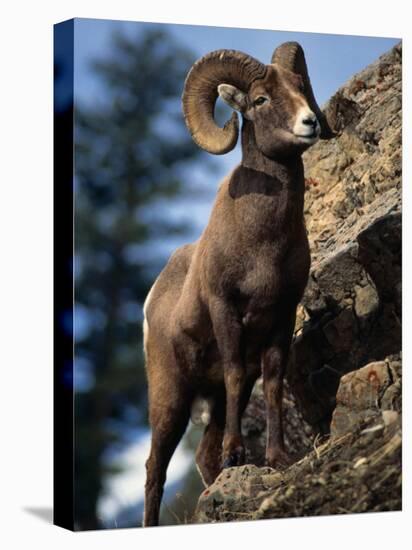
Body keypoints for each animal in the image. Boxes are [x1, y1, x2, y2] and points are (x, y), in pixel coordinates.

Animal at [143, 42, 334, 528]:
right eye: (262, 99)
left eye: (300, 87)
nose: (309, 123)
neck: (263, 242)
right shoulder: (227, 312)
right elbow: (231, 372)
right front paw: (238, 452)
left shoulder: (280, 318)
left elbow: (275, 382)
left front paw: (276, 458)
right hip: (170, 399)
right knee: (155, 468)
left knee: (203, 458)